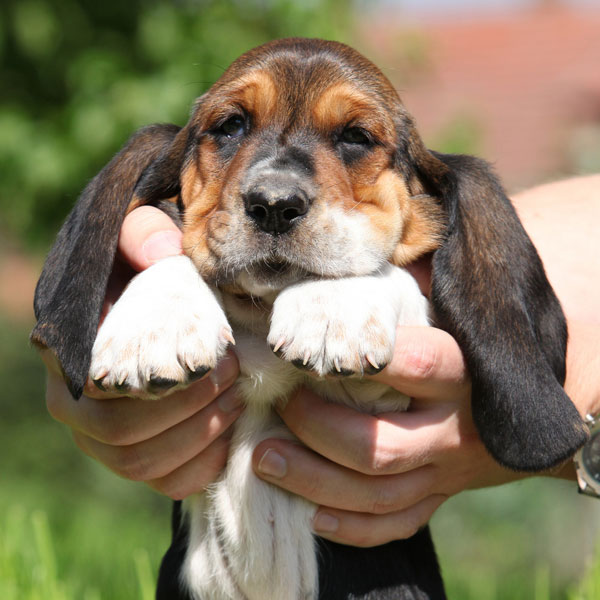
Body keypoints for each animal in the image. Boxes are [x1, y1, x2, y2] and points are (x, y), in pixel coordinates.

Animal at [30, 38, 588, 600]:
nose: (274, 204)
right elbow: (179, 248)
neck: (260, 311)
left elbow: (378, 266)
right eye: (230, 126)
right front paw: (154, 321)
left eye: (357, 137)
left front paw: (332, 304)